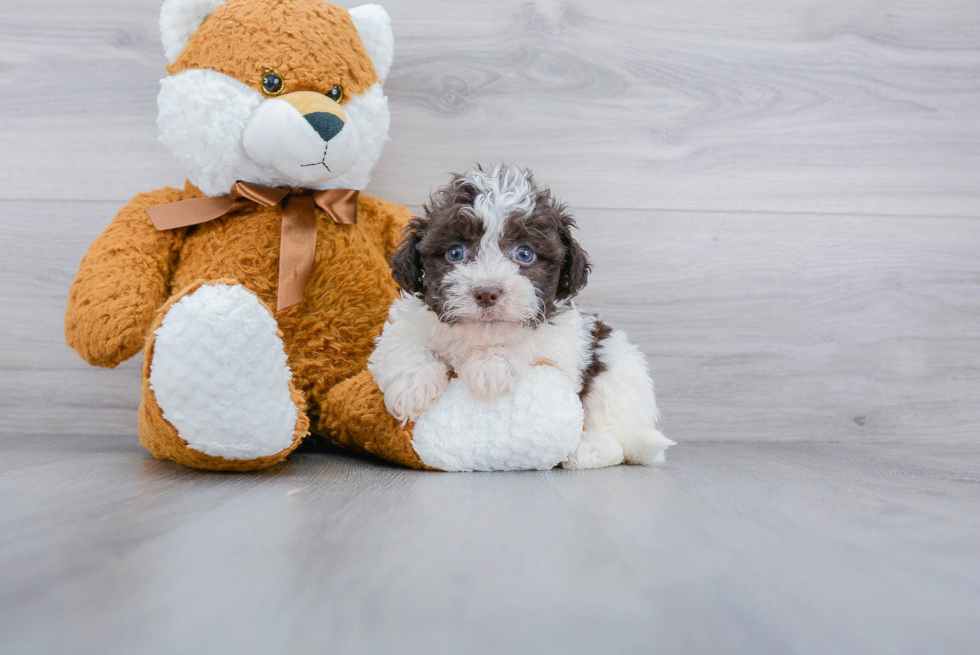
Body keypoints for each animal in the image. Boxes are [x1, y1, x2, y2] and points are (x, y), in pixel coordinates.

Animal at [368, 167, 672, 468]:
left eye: (524, 253)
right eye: (455, 252)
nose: (486, 293)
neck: (480, 335)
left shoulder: (563, 346)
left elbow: (526, 344)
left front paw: (490, 366)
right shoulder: (409, 322)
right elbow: (403, 341)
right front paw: (411, 385)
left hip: (617, 373)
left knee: (616, 437)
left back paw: (589, 450)